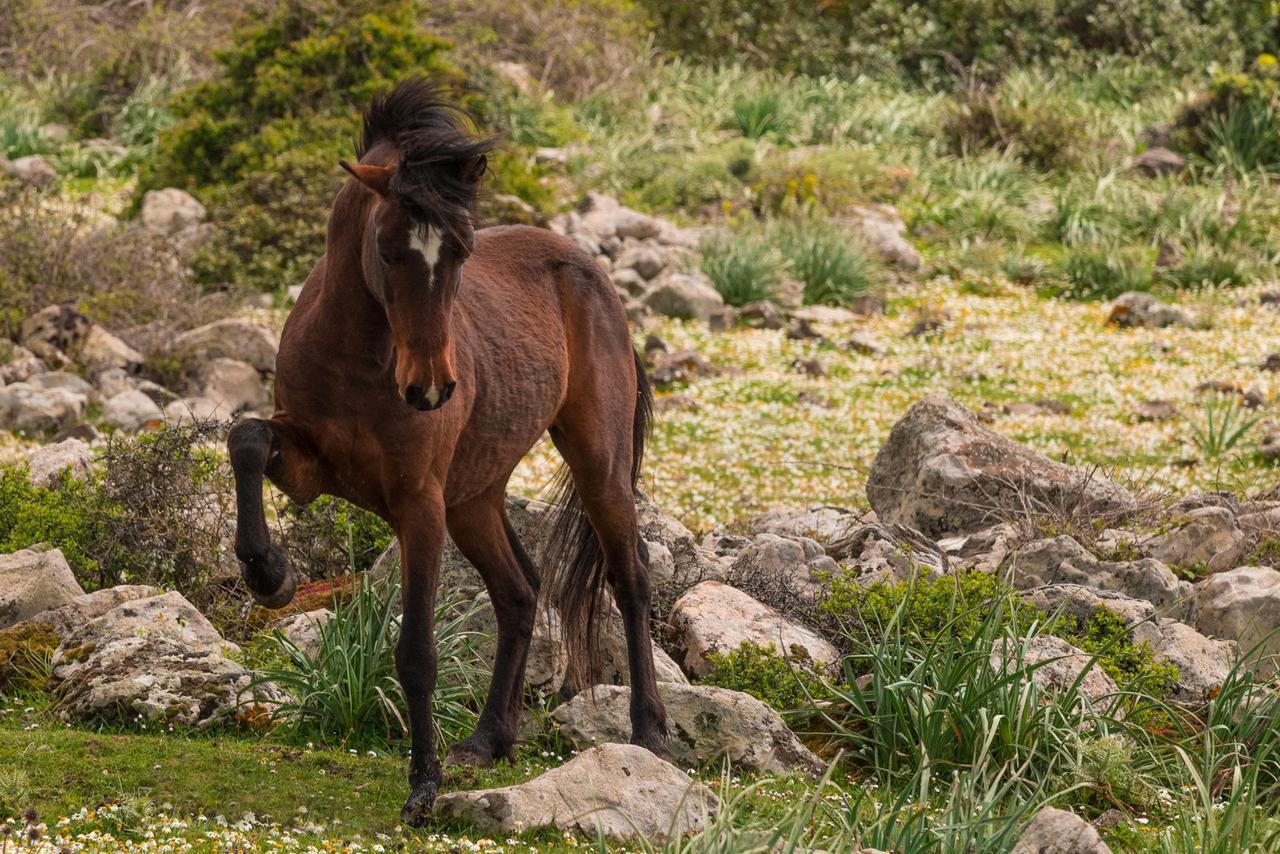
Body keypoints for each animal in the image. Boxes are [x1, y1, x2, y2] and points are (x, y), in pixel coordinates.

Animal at [226, 81, 675, 829]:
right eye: (388, 247)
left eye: (462, 251)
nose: (431, 388)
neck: (358, 360)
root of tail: (593, 273)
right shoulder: (312, 465)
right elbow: (247, 442)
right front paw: (269, 575)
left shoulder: (419, 505)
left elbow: (416, 653)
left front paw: (423, 787)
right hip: (474, 499)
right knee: (520, 591)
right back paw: (489, 738)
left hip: (596, 466)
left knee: (630, 578)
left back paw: (650, 733)